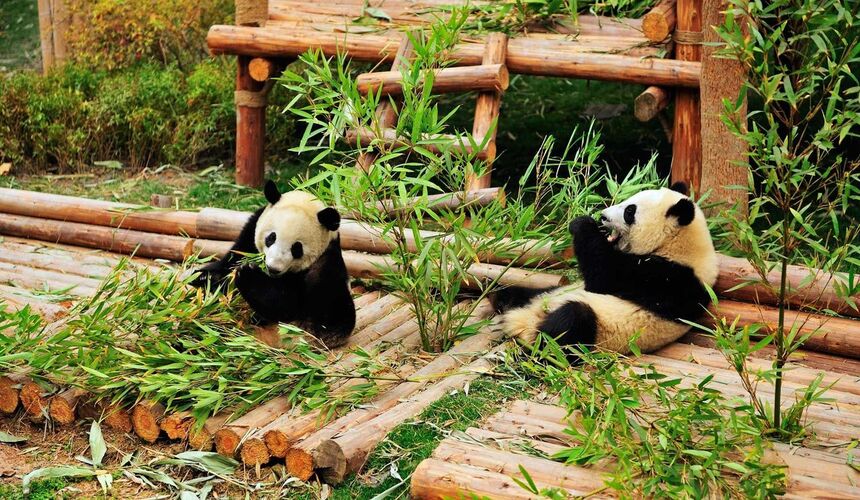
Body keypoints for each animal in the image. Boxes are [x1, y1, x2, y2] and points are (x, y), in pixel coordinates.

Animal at [192, 181, 355, 348]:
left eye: (297, 248)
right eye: (271, 238)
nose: (273, 268)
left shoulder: (325, 263)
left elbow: (287, 305)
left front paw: (249, 274)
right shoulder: (250, 233)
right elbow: (231, 261)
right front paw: (206, 278)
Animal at [491, 182, 718, 357]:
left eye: (629, 211)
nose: (602, 216)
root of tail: (523, 321)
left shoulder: (668, 278)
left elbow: (603, 278)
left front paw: (582, 223)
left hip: (597, 330)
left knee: (571, 321)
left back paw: (535, 350)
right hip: (548, 293)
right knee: (518, 293)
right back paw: (498, 297)